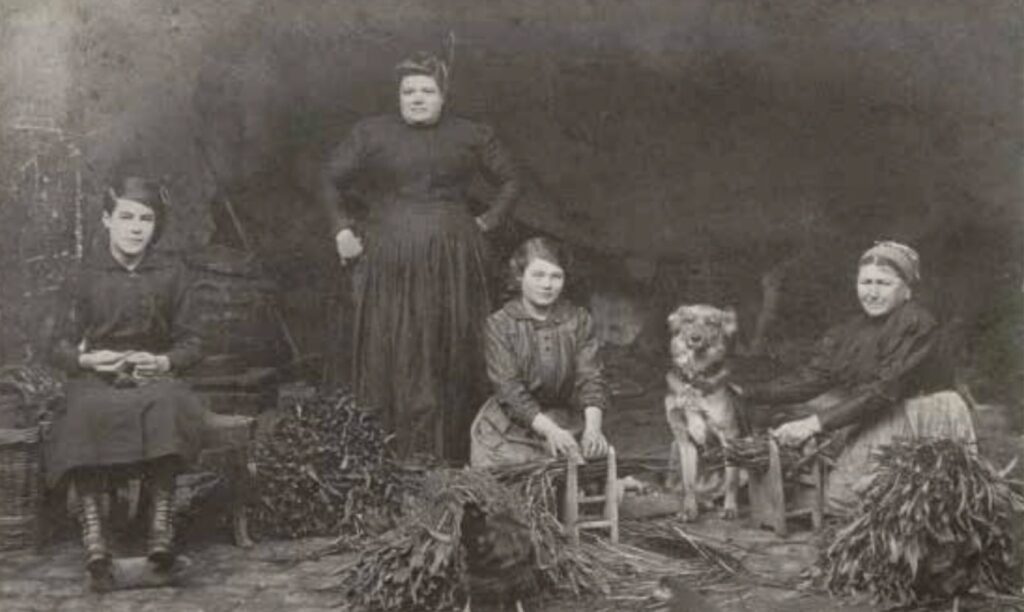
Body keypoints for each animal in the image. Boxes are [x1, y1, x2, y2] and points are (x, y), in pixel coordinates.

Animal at [667, 304, 741, 521]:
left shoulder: (729, 435)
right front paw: (689, 510)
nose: (695, 338)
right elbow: (689, 481)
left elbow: (731, 479)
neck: (694, 378)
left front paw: (730, 508)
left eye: (711, 323)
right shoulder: (683, 438)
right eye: (689, 320)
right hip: (674, 449)